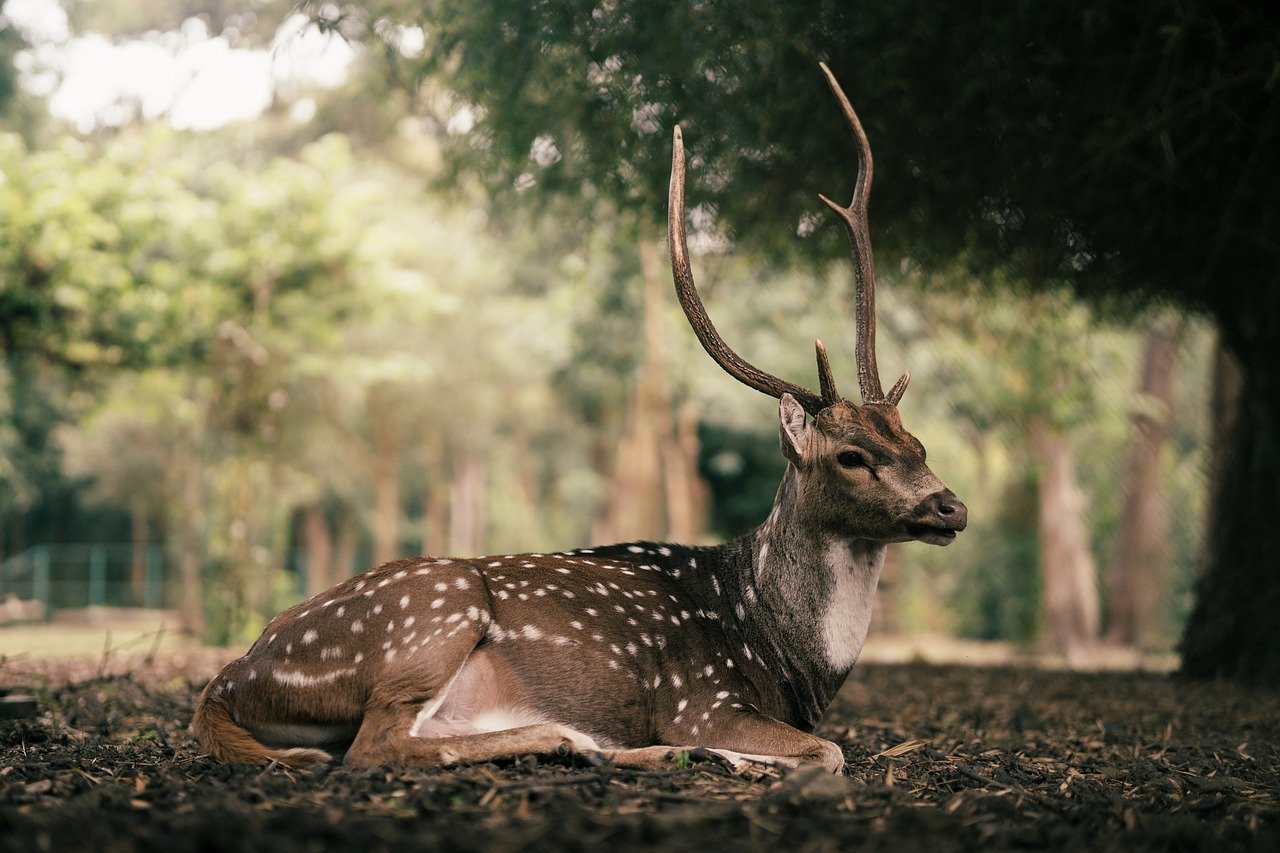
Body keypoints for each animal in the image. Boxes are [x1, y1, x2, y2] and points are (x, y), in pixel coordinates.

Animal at [190, 64, 967, 775]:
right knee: (373, 746)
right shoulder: (701, 697)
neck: (778, 653)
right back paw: (603, 742)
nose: (950, 506)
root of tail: (227, 679)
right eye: (850, 455)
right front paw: (738, 754)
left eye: (917, 442)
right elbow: (830, 750)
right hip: (434, 612)